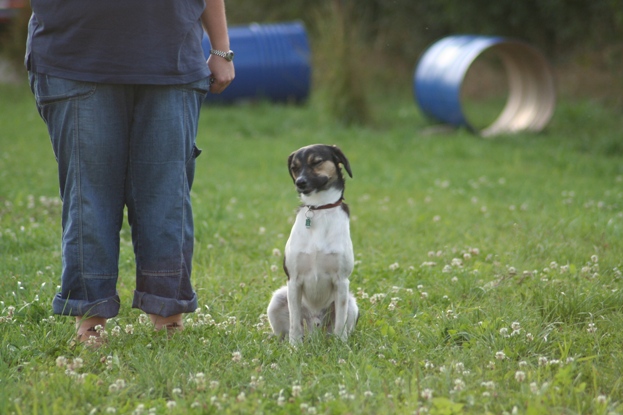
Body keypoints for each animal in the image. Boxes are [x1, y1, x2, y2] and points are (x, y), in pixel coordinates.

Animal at [266, 145, 358, 346]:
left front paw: (341, 346)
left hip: (351, 304)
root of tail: (315, 329)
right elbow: (294, 322)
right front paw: (294, 347)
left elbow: (340, 323)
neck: (320, 208)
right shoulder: (293, 281)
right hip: (278, 300)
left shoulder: (341, 281)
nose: (300, 182)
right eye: (294, 167)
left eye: (316, 162)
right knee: (288, 330)